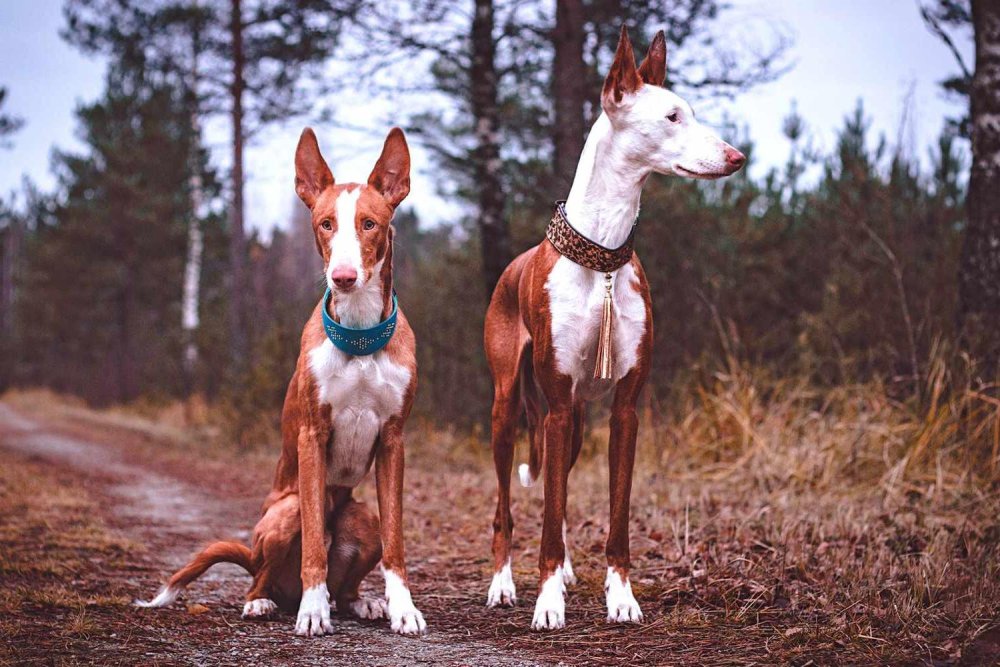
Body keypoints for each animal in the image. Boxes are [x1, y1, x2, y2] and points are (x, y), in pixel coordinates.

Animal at [138, 126, 426, 636]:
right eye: (326, 224)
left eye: (369, 224)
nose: (343, 277)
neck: (360, 338)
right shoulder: (312, 436)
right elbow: (313, 539)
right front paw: (312, 613)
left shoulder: (394, 440)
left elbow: (397, 540)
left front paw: (402, 608)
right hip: (281, 515)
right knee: (264, 575)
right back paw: (269, 602)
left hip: (363, 517)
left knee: (346, 582)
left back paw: (359, 602)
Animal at [480, 27, 748, 632]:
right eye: (672, 116)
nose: (736, 157)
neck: (602, 256)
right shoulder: (554, 405)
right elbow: (545, 514)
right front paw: (547, 601)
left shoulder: (625, 409)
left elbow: (612, 514)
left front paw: (620, 596)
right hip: (510, 409)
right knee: (507, 507)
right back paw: (504, 582)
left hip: (575, 421)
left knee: (558, 490)